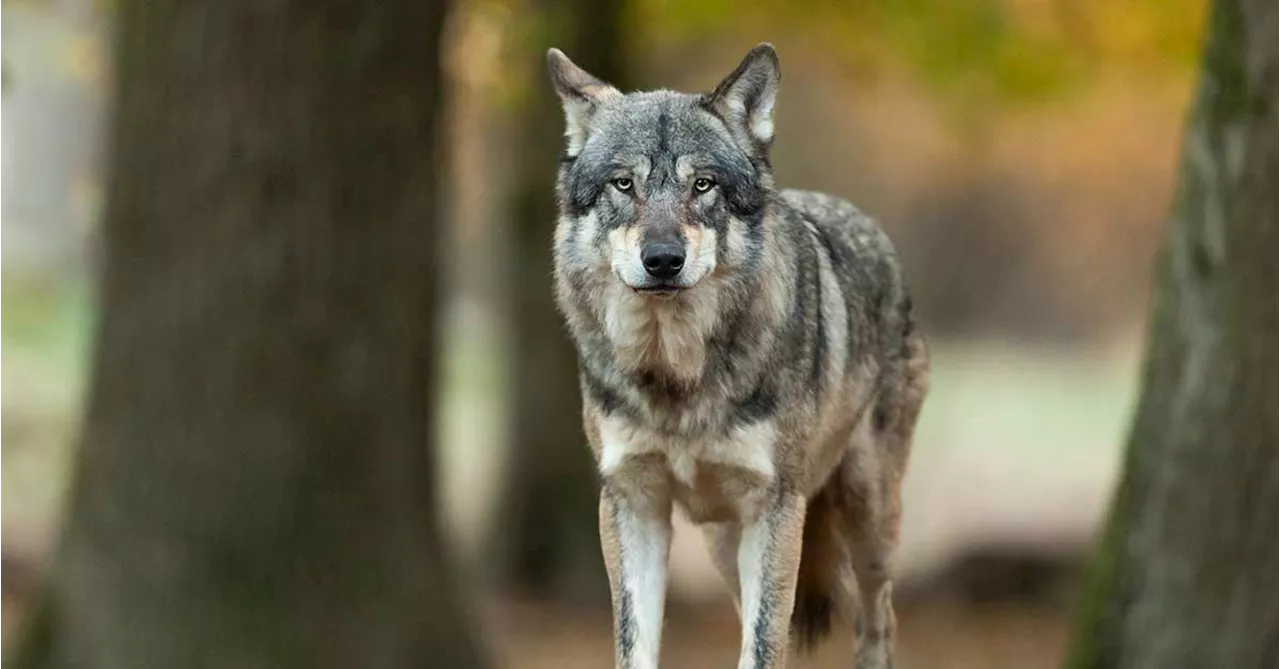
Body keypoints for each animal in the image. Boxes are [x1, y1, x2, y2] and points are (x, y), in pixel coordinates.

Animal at [545, 43, 926, 669]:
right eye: (623, 184)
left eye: (703, 184)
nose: (663, 259)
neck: (676, 375)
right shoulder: (632, 504)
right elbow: (635, 644)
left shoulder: (774, 509)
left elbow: (764, 645)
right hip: (727, 544)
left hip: (868, 521)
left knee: (877, 619)